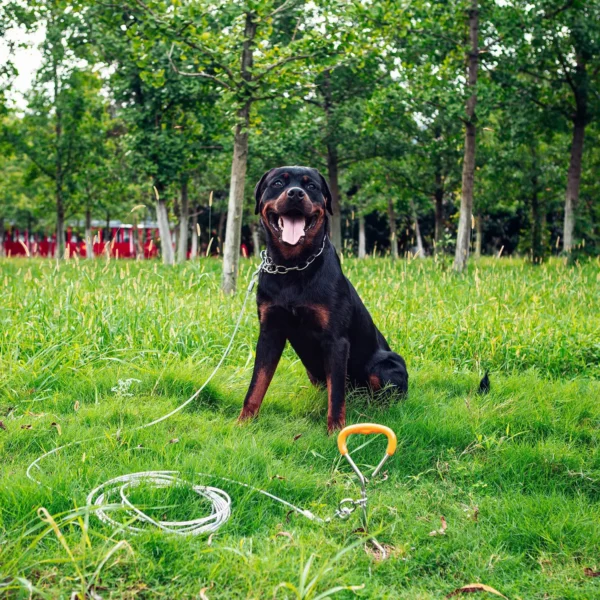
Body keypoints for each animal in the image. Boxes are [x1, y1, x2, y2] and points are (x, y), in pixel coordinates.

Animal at [239, 166, 408, 434]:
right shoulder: (269, 332)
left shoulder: (336, 340)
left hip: (386, 364)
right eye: (277, 183)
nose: (296, 193)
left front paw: (336, 431)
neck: (293, 266)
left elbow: (336, 396)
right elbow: (257, 384)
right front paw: (244, 423)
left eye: (311, 187)